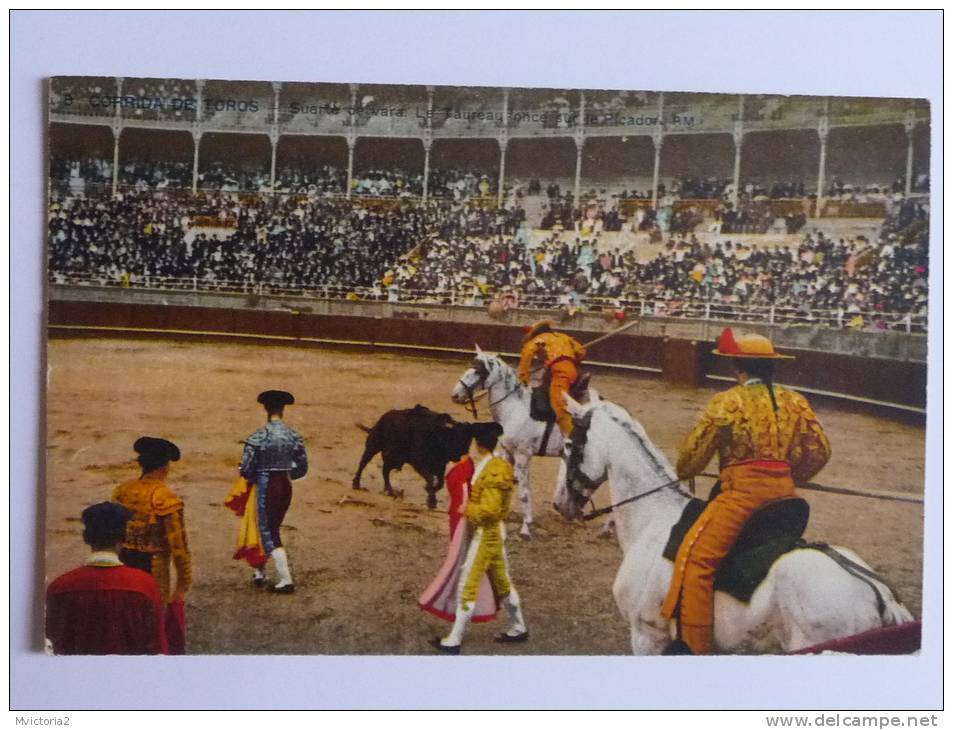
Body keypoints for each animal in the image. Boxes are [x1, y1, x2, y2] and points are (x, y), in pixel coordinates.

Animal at [354, 404, 494, 506]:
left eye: (469, 438)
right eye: (455, 436)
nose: (461, 454)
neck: (437, 433)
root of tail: (383, 418)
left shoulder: (440, 465)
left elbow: (440, 482)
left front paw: (429, 493)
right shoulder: (419, 462)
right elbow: (431, 479)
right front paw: (431, 501)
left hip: (395, 458)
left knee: (385, 471)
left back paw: (390, 491)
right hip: (374, 446)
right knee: (363, 462)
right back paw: (356, 484)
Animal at [452, 346, 564, 536]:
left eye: (479, 371)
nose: (455, 395)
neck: (515, 409)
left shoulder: (523, 456)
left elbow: (524, 493)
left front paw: (526, 527)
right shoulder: (508, 453)